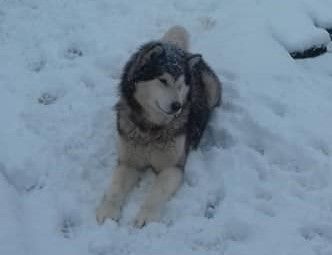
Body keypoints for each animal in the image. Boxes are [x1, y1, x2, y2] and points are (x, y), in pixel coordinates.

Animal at [94, 25, 222, 228]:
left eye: (180, 84)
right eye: (163, 80)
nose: (177, 106)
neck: (151, 129)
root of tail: (176, 46)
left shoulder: (173, 168)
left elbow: (156, 193)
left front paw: (147, 216)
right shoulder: (128, 162)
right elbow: (115, 188)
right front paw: (108, 211)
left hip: (212, 91)